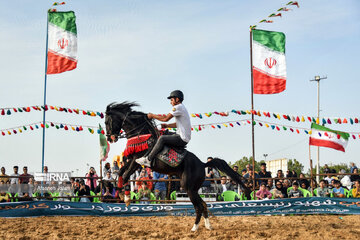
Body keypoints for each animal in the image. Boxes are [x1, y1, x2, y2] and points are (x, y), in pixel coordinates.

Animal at [104, 102, 250, 232]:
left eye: (106, 122)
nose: (110, 138)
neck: (141, 134)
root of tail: (202, 164)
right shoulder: (132, 160)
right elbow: (121, 173)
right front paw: (122, 193)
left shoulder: (136, 160)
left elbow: (125, 174)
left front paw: (126, 196)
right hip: (193, 189)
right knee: (203, 205)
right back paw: (208, 226)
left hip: (189, 188)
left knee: (199, 207)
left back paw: (195, 228)